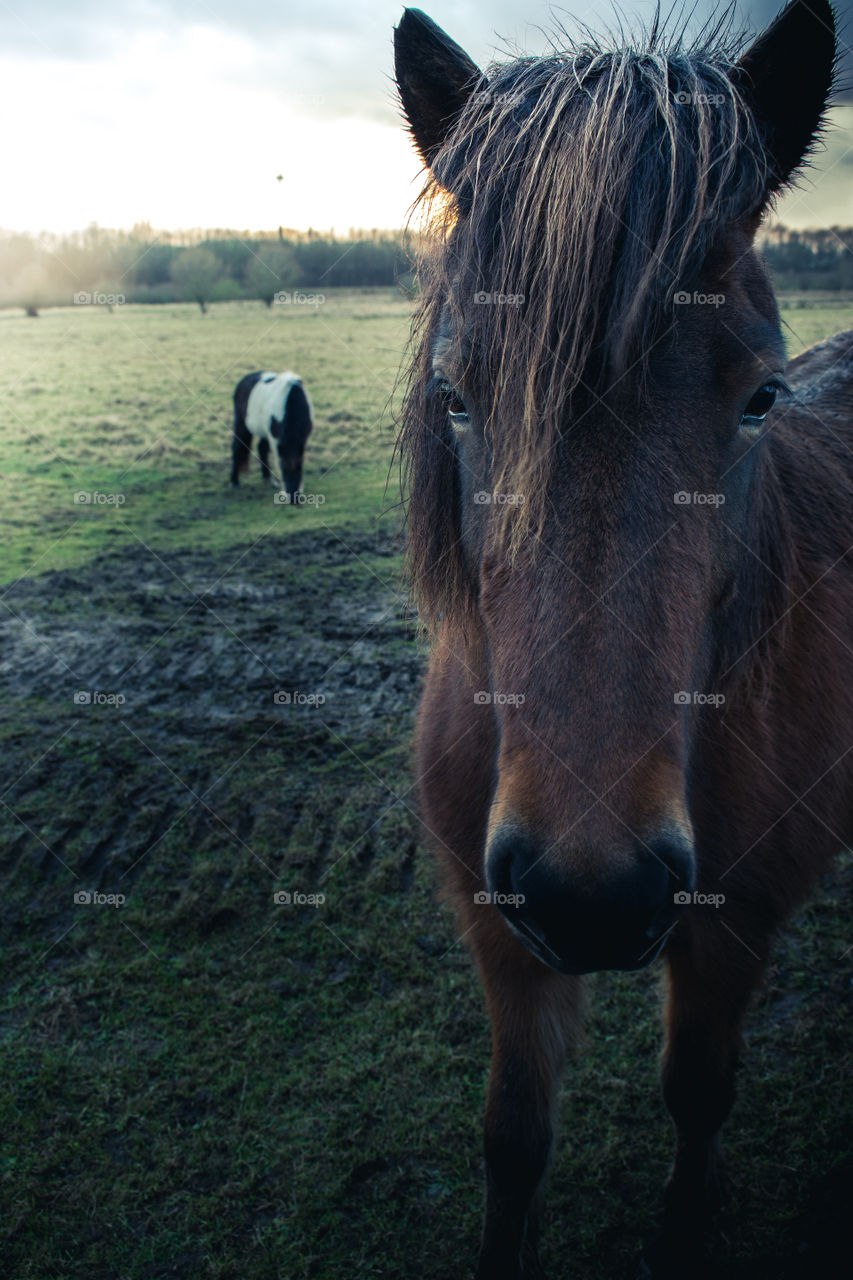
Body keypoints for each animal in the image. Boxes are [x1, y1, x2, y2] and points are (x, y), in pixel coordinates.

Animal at [230, 370, 313, 502]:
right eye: (283, 469)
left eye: (299, 468)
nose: (293, 499)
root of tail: (244, 380)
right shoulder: (275, 440)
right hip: (241, 424)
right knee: (236, 447)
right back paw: (235, 482)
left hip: (264, 432)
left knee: (261, 448)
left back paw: (268, 480)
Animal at [394, 2, 851, 1276]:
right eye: (457, 393)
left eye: (760, 396)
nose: (590, 892)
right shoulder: (502, 933)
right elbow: (511, 1137)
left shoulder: (731, 928)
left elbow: (697, 1094)